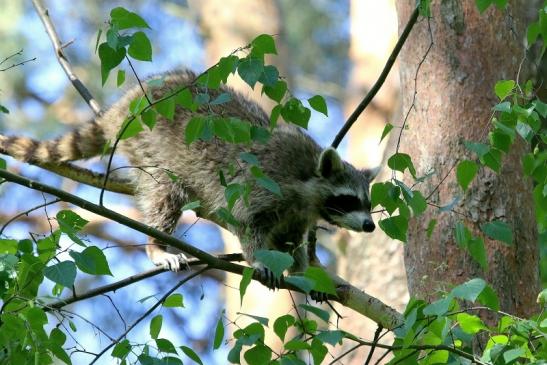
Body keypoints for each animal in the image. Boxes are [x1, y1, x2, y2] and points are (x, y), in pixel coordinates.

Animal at [0, 69, 376, 288]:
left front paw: (301, 270)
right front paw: (258, 259)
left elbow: (291, 243)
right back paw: (156, 245)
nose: (371, 226)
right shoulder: (265, 182)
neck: (306, 181)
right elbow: (247, 222)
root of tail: (125, 105)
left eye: (367, 202)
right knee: (164, 197)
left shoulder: (296, 215)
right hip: (152, 145)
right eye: (348, 199)